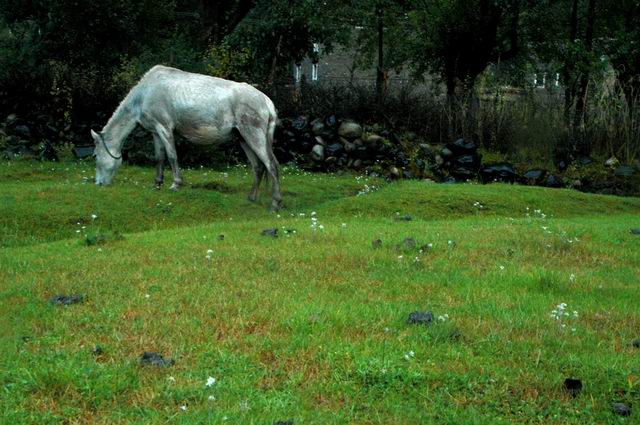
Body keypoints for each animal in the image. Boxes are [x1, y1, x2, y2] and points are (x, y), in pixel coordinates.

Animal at [91, 64, 282, 209]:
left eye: (95, 156)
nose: (98, 183)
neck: (145, 94)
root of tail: (267, 102)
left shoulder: (165, 128)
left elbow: (172, 157)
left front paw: (175, 184)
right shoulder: (155, 132)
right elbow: (159, 158)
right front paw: (157, 183)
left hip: (253, 135)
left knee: (271, 165)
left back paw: (275, 203)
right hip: (243, 138)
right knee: (258, 167)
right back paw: (252, 198)